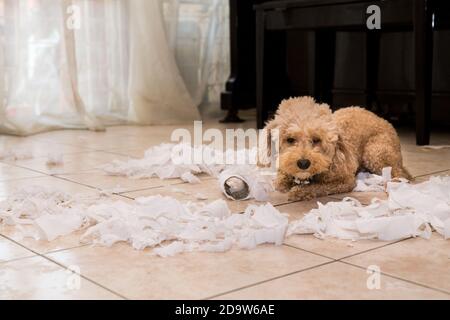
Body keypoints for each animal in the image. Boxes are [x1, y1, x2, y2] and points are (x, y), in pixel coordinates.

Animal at [264, 95, 412, 200]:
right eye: (290, 139)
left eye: (316, 139)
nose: (303, 163)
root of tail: (385, 121)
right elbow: (280, 181)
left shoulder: (345, 181)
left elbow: (319, 187)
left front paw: (300, 191)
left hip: (375, 152)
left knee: (401, 173)